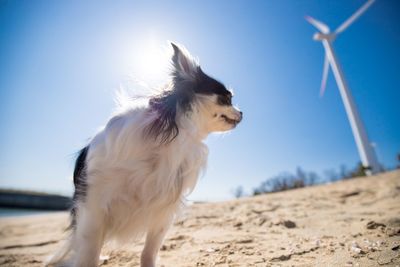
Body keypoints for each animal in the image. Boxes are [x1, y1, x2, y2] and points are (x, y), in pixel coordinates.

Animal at [47, 43, 241, 266]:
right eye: (227, 98)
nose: (242, 112)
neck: (171, 137)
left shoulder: (163, 211)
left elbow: (149, 250)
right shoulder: (93, 207)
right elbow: (89, 253)